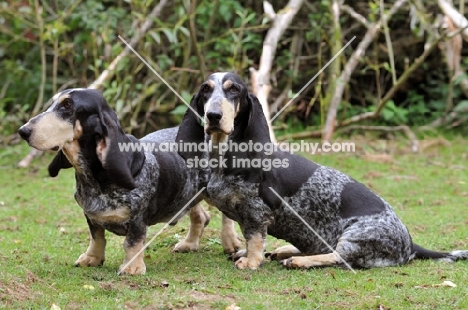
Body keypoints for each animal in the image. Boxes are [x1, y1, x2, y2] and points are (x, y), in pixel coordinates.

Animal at [18, 88, 239, 274]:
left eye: (67, 105)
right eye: (53, 103)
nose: (23, 131)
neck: (95, 179)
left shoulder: (137, 218)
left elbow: (132, 243)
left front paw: (132, 268)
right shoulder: (90, 215)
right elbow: (97, 237)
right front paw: (92, 258)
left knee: (225, 215)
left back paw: (230, 242)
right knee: (201, 216)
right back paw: (189, 243)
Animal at [176, 72, 468, 268]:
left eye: (233, 90)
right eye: (206, 90)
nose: (213, 116)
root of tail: (409, 243)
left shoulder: (258, 213)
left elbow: (255, 238)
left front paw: (251, 261)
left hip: (355, 236)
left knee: (339, 257)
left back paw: (298, 261)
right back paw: (287, 251)